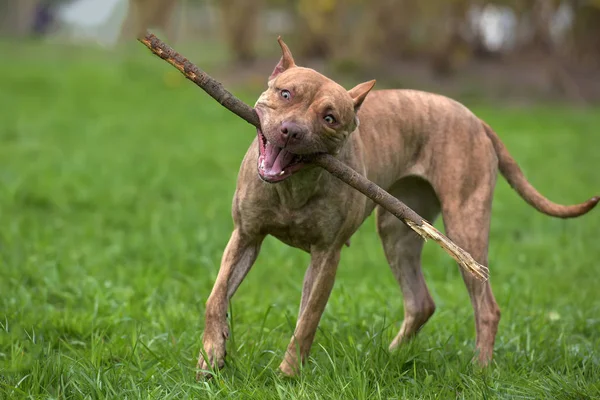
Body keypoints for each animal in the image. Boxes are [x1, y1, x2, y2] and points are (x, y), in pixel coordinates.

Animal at [196, 37, 596, 378]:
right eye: (286, 93)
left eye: (330, 118)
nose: (292, 131)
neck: (293, 186)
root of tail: (475, 118)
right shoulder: (246, 235)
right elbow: (216, 297)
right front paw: (211, 355)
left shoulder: (326, 256)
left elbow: (306, 320)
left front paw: (287, 376)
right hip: (398, 230)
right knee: (421, 302)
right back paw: (391, 356)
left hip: (465, 227)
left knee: (486, 307)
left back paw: (480, 370)